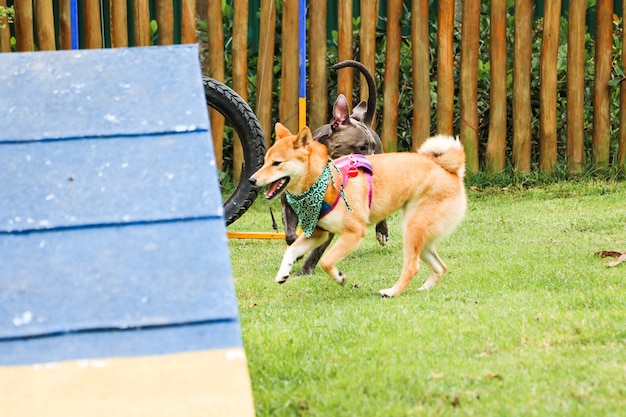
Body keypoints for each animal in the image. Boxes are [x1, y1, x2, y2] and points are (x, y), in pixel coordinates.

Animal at [247, 122, 464, 296]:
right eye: (265, 161)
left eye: (277, 163)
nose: (251, 180)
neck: (324, 183)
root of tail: (446, 167)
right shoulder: (317, 234)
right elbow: (291, 250)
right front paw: (283, 272)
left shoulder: (352, 233)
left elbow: (326, 261)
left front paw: (339, 277)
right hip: (419, 234)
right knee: (440, 267)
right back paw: (423, 289)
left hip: (413, 229)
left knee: (412, 267)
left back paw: (392, 292)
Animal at [282, 58, 388, 272]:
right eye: (362, 147)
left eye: (372, 146)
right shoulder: (288, 203)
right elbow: (290, 233)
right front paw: (296, 251)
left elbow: (318, 250)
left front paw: (305, 271)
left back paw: (382, 231)